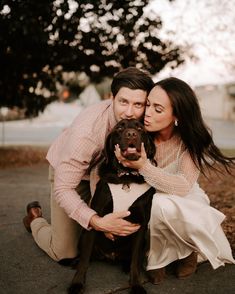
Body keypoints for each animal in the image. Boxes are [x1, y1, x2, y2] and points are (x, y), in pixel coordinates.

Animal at [68, 119, 156, 294]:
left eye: (140, 128)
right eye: (120, 127)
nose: (131, 134)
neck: (126, 177)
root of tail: (111, 256)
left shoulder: (141, 224)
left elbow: (135, 261)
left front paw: (136, 285)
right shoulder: (97, 219)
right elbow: (84, 261)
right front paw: (77, 284)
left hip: (143, 241)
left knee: (132, 259)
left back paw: (126, 266)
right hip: (84, 233)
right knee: (86, 255)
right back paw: (75, 261)